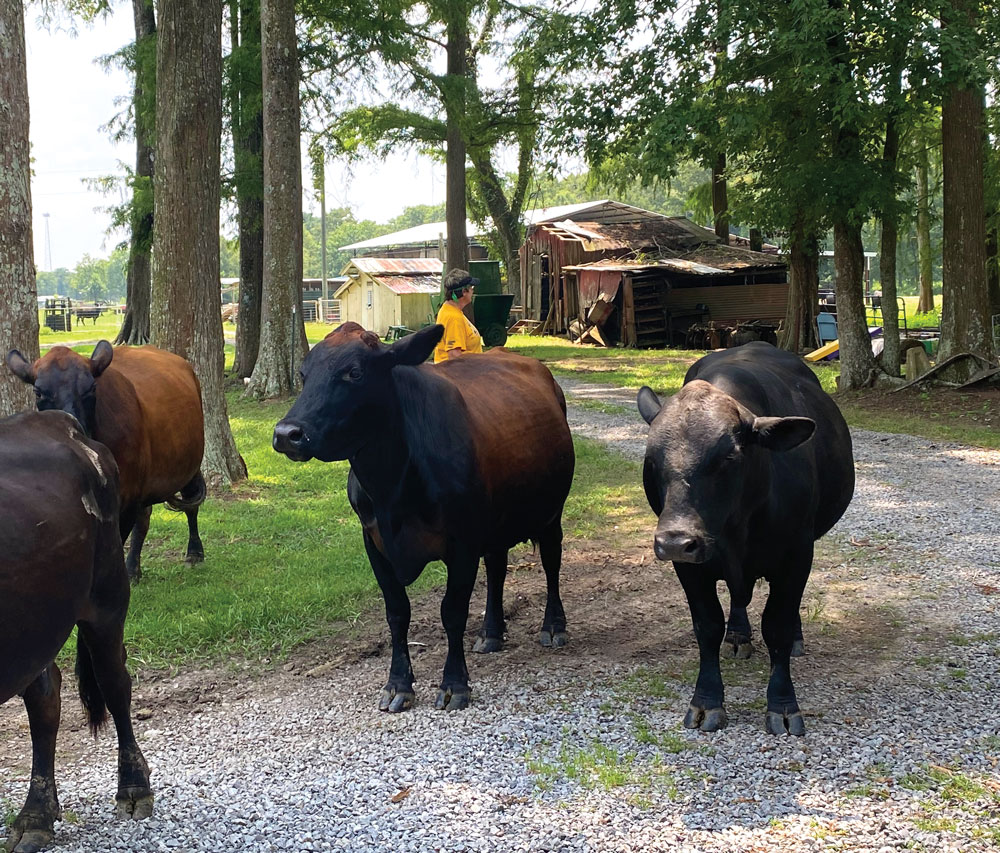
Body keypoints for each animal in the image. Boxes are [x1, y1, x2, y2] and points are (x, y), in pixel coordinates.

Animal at [7, 340, 207, 580]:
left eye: (92, 388)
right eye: (38, 392)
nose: (72, 425)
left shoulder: (128, 496)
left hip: (190, 464)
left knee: (191, 503)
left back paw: (194, 553)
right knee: (145, 517)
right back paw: (133, 568)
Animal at [272, 322, 580, 708]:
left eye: (354, 372)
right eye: (303, 373)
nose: (287, 434)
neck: (391, 490)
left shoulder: (463, 541)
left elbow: (453, 611)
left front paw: (454, 684)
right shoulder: (373, 541)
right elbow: (397, 612)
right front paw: (398, 684)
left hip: (552, 510)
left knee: (552, 561)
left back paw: (553, 626)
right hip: (495, 521)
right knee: (497, 568)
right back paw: (491, 633)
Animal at [636, 342, 856, 736]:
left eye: (729, 456)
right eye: (652, 459)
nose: (675, 539)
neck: (735, 530)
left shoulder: (797, 554)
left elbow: (778, 625)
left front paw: (782, 705)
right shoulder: (689, 565)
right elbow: (707, 626)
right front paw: (707, 701)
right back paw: (738, 635)